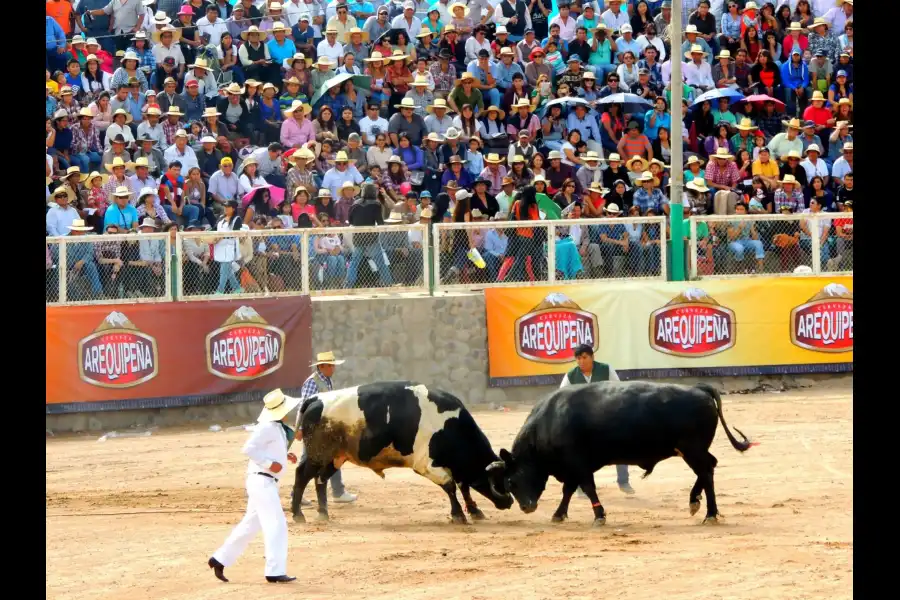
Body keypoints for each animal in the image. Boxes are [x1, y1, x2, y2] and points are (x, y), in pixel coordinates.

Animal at [290, 382, 512, 524]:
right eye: (498, 481)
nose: (509, 501)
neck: (451, 425)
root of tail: (316, 398)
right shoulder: (425, 464)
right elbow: (450, 486)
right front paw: (458, 514)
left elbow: (463, 486)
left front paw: (475, 510)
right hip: (318, 455)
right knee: (302, 476)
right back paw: (298, 514)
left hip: (335, 458)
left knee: (320, 480)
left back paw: (323, 513)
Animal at [486, 384, 752, 524]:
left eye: (512, 480)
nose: (526, 507)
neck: (548, 423)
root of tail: (699, 389)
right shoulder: (572, 468)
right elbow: (569, 490)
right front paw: (559, 514)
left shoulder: (578, 464)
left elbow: (587, 488)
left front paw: (599, 515)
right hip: (693, 450)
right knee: (709, 467)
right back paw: (695, 502)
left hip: (692, 450)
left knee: (706, 471)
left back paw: (710, 513)